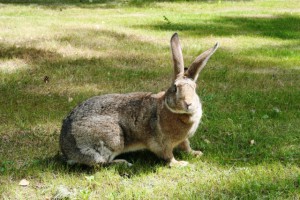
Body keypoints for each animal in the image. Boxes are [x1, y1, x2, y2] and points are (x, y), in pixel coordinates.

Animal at [59, 33, 218, 167]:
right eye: (174, 88)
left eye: (195, 88)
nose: (188, 104)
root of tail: (67, 150)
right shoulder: (162, 142)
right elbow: (168, 156)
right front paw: (180, 164)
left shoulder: (183, 139)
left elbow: (186, 145)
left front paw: (196, 153)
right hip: (113, 140)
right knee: (101, 163)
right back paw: (123, 163)